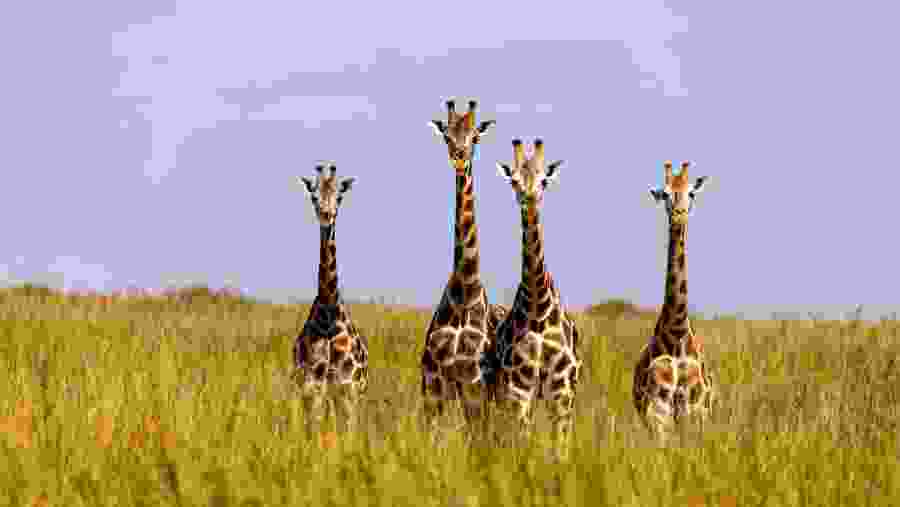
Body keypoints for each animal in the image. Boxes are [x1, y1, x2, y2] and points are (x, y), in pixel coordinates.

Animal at [293, 162, 369, 438]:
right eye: (314, 197)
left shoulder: (347, 389)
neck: (328, 312)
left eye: (339, 197)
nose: (326, 215)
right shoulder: (311, 388)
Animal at [421, 99, 508, 441]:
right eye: (447, 136)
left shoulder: (474, 384)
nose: (460, 157)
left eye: (475, 137)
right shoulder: (434, 384)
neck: (464, 289)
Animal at [489, 138, 582, 461]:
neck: (537, 309)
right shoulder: (519, 390)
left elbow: (561, 450)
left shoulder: (562, 391)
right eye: (514, 180)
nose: (528, 200)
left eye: (544, 180)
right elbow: (523, 444)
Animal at [633, 160, 715, 442]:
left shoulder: (695, 411)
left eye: (691, 193)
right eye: (665, 193)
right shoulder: (658, 414)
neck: (677, 329)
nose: (679, 214)